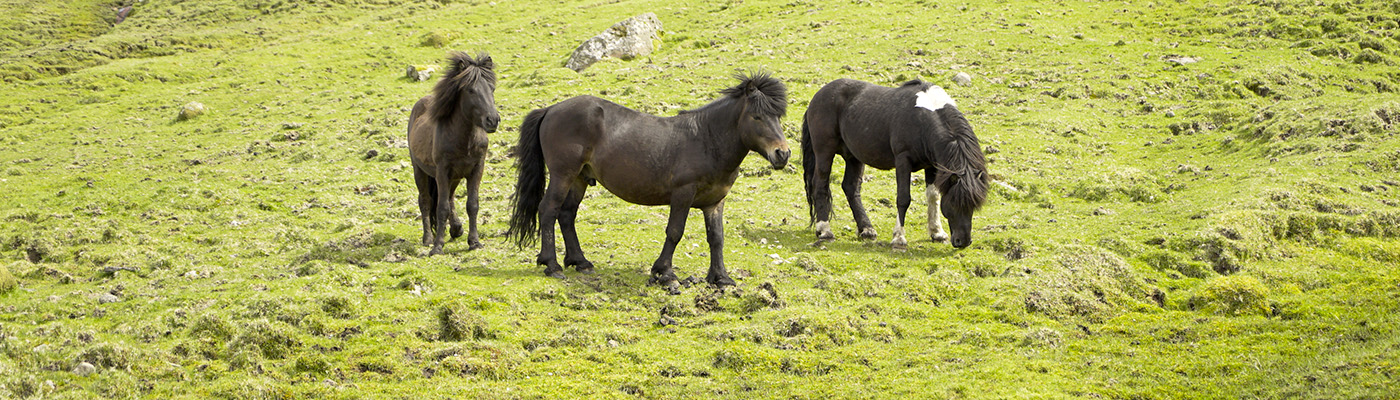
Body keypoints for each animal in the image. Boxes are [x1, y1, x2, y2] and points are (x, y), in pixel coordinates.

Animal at [408, 51, 501, 254]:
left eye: (492, 88)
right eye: (471, 90)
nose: (492, 120)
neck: (464, 140)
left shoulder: (476, 169)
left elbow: (472, 205)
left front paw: (474, 242)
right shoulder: (442, 171)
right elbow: (440, 207)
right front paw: (437, 247)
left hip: (455, 177)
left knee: (449, 197)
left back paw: (456, 229)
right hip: (420, 171)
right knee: (425, 201)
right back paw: (428, 238)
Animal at [506, 73, 795, 285]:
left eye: (778, 116)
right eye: (757, 116)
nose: (782, 153)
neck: (706, 139)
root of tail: (551, 109)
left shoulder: (715, 202)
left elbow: (716, 237)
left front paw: (721, 278)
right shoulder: (682, 194)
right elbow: (675, 232)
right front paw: (664, 272)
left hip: (579, 178)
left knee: (567, 215)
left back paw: (580, 262)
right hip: (563, 175)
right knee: (548, 210)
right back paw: (552, 264)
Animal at [806, 77, 991, 248]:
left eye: (974, 204)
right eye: (954, 202)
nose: (963, 241)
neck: (923, 119)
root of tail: (818, 96)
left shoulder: (933, 166)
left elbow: (933, 197)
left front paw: (937, 233)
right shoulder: (903, 161)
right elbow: (903, 198)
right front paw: (899, 238)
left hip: (853, 157)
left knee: (851, 188)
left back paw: (867, 229)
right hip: (825, 152)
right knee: (820, 185)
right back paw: (825, 231)